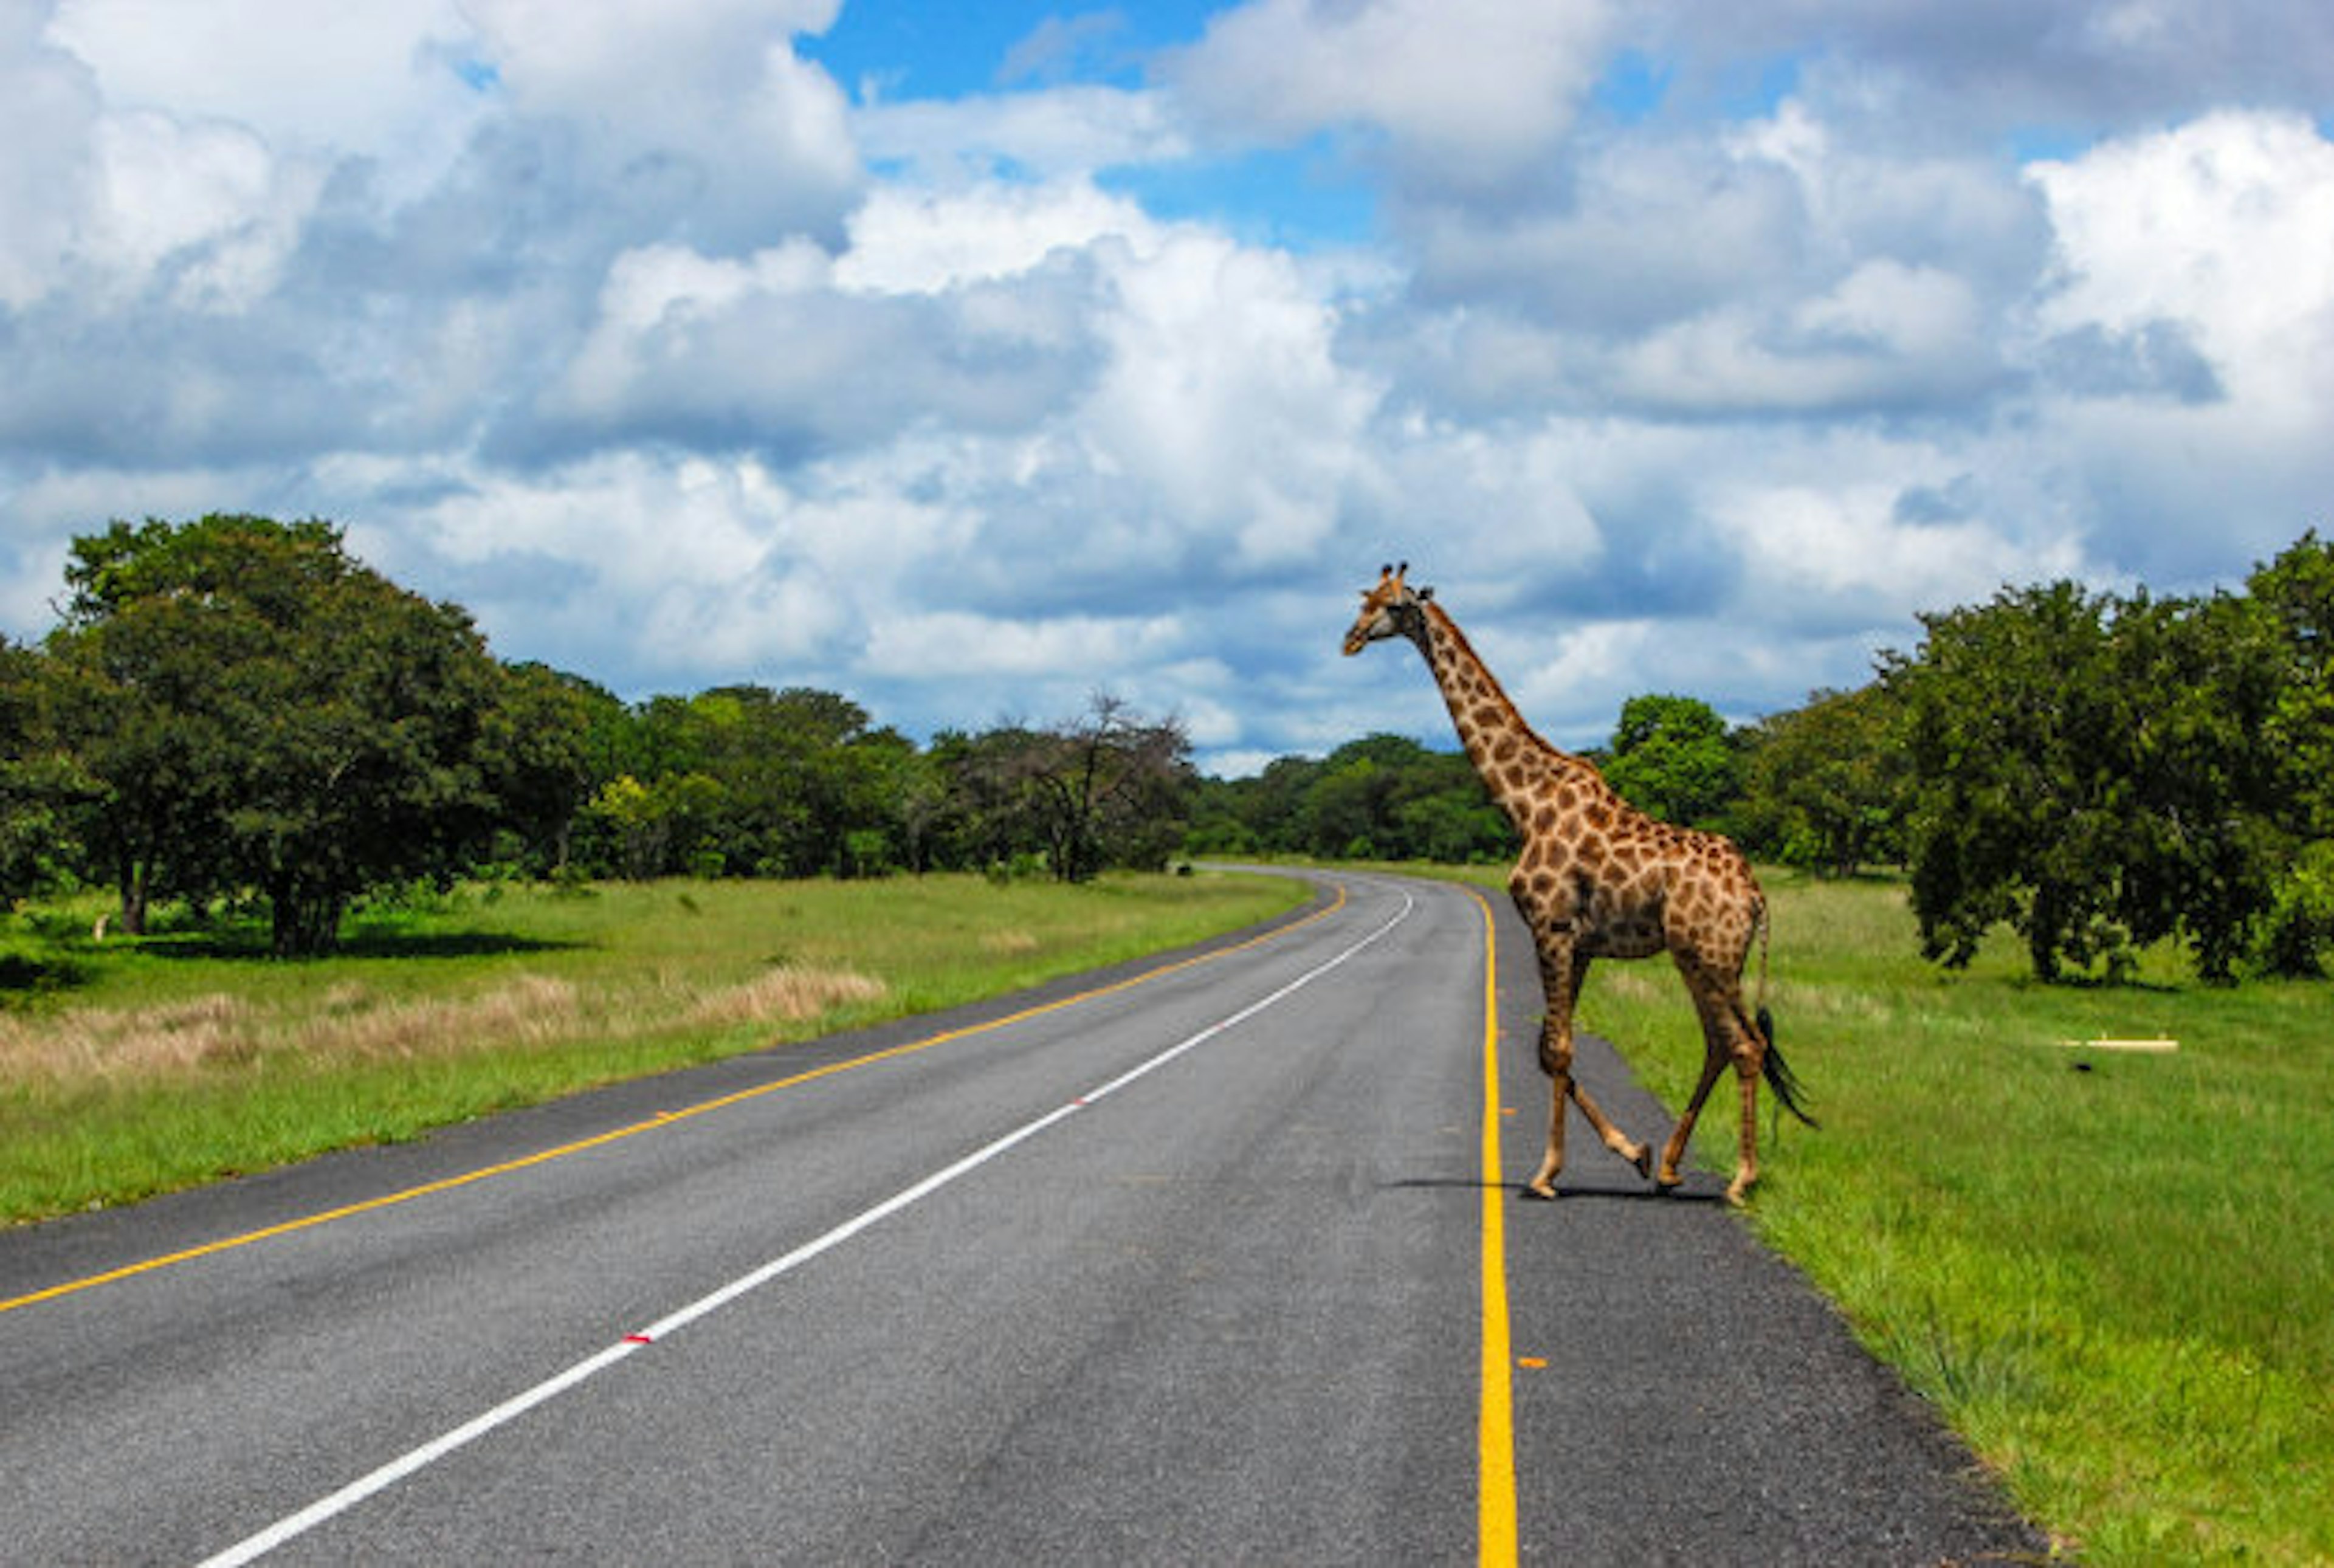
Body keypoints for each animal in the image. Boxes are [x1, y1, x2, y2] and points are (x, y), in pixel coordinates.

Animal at [1344, 569, 1811, 1204]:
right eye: (1365, 598)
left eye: (1393, 606)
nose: (1350, 639)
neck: (1525, 804)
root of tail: (1757, 895)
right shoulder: (1580, 941)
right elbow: (1547, 1049)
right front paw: (1633, 1152)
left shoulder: (1553, 927)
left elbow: (1558, 1048)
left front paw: (1546, 1174)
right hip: (1697, 957)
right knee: (1720, 1043)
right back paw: (1669, 1168)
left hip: (1713, 956)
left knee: (1746, 1045)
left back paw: (1741, 1179)